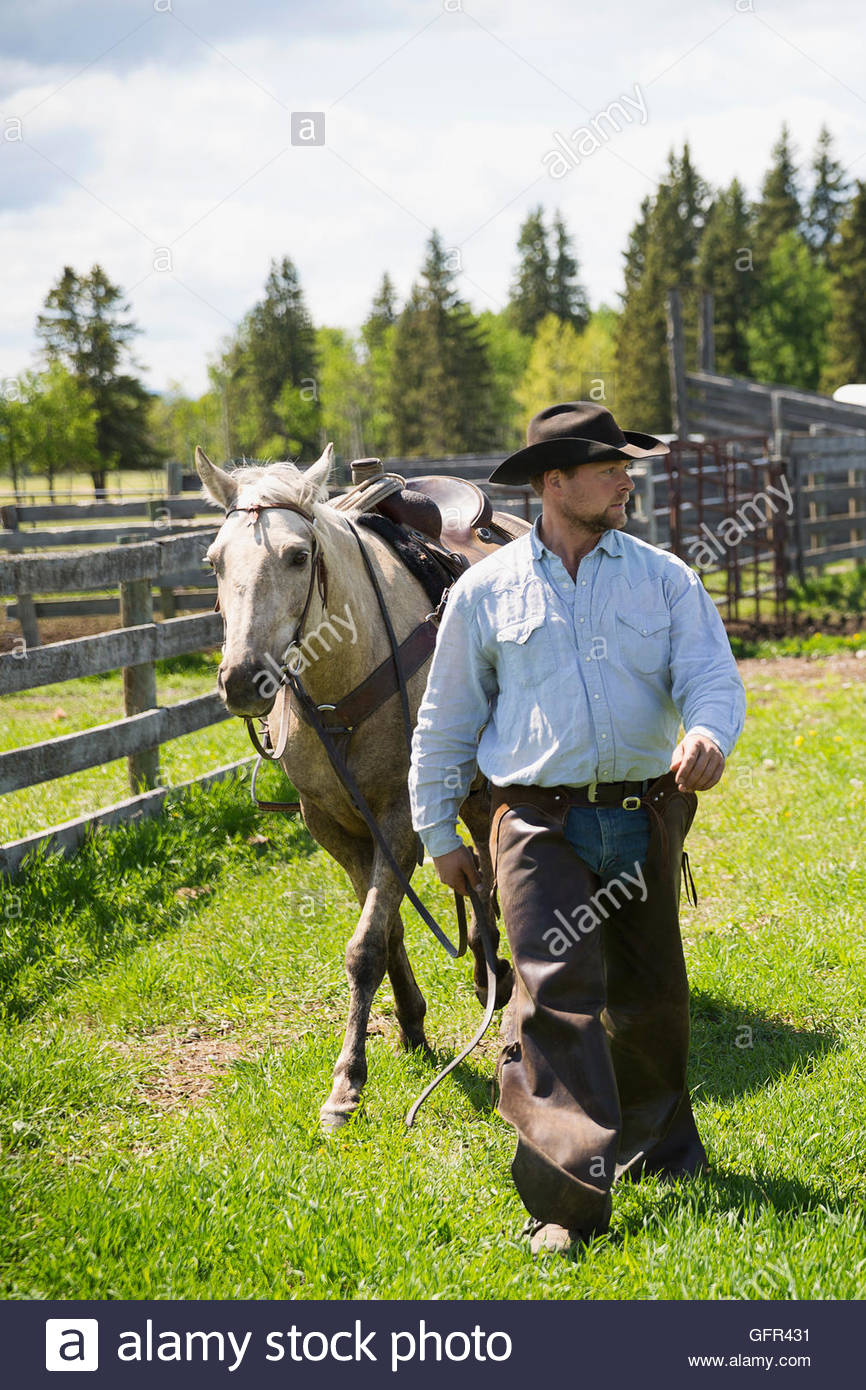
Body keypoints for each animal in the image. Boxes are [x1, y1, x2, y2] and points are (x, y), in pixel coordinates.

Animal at [195, 444, 515, 1130]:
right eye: (213, 560)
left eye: (297, 555)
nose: (242, 679)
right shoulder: (335, 827)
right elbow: (386, 927)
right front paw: (412, 1025)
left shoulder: (399, 816)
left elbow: (365, 944)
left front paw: (346, 1083)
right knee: (476, 870)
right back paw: (485, 971)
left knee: (488, 865)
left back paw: (495, 972)